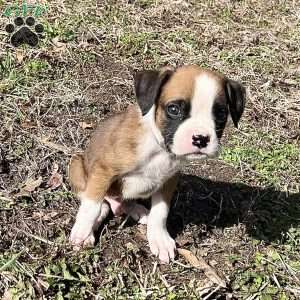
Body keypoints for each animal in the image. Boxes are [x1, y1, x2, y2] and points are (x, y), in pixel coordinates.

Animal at [68, 65, 246, 262]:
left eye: (221, 113)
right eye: (174, 109)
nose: (200, 139)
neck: (158, 148)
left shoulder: (168, 181)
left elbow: (160, 212)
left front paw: (159, 239)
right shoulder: (104, 170)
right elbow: (92, 206)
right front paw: (82, 231)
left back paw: (138, 210)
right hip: (76, 165)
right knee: (102, 203)